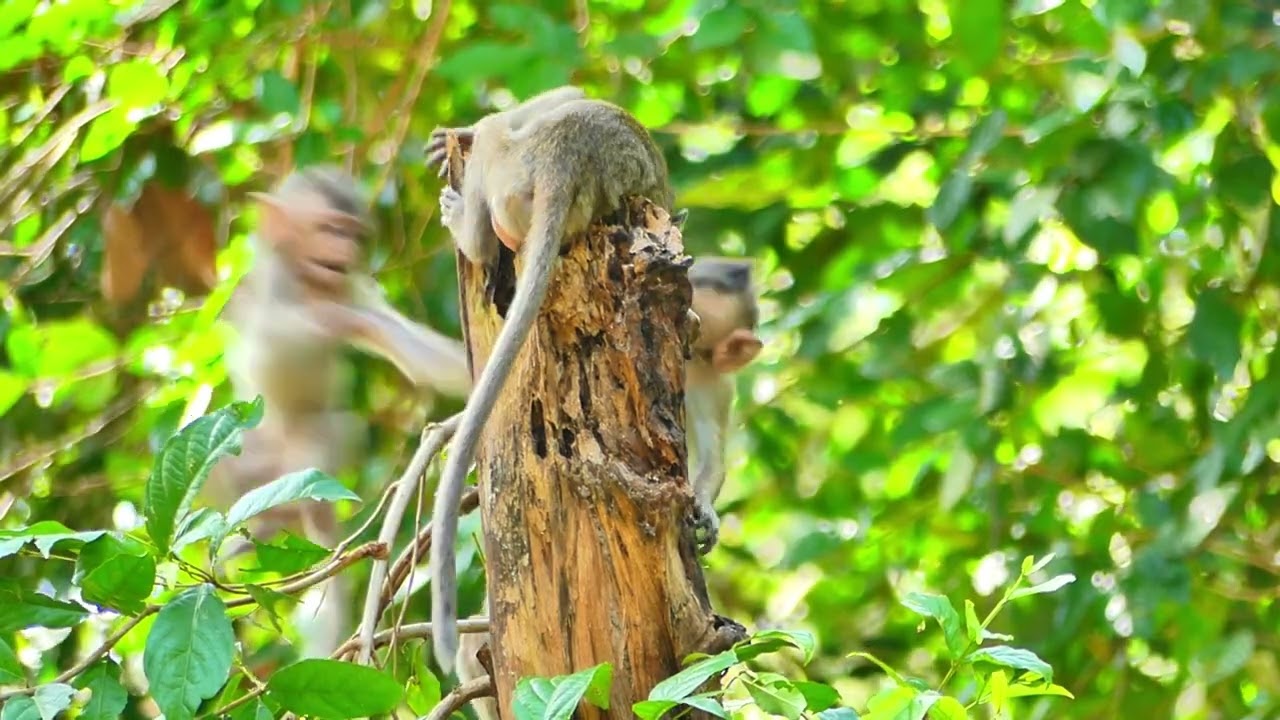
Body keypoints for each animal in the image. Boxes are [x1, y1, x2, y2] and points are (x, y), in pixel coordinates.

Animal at [206, 165, 472, 658]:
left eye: (354, 234)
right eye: (330, 229)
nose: (346, 251)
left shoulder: (351, 290)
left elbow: (406, 350)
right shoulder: (262, 293)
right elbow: (270, 339)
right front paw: (331, 319)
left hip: (310, 451)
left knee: (333, 434)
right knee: (218, 450)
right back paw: (266, 526)